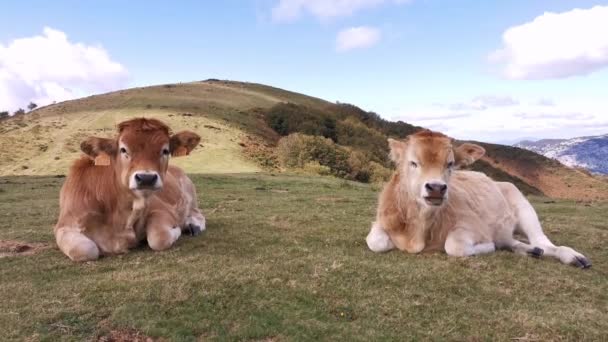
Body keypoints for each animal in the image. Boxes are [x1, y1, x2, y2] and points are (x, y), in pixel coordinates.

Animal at [366, 130, 588, 268]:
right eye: (413, 163)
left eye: (450, 163)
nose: (436, 188)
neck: (418, 233)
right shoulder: (381, 221)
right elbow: (375, 241)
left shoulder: (473, 225)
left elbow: (454, 246)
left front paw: (488, 247)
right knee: (512, 240)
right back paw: (528, 250)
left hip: (523, 206)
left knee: (543, 242)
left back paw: (573, 257)